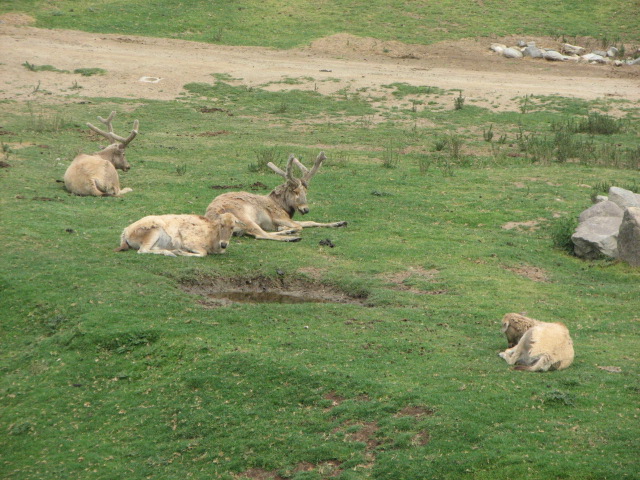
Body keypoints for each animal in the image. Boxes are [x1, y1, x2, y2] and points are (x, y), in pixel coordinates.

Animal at [204, 151, 347, 242]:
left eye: (306, 192)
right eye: (295, 191)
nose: (305, 209)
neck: (282, 206)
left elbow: (310, 222)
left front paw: (340, 222)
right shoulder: (278, 216)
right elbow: (300, 225)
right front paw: (286, 228)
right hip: (243, 217)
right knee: (261, 235)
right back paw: (292, 237)